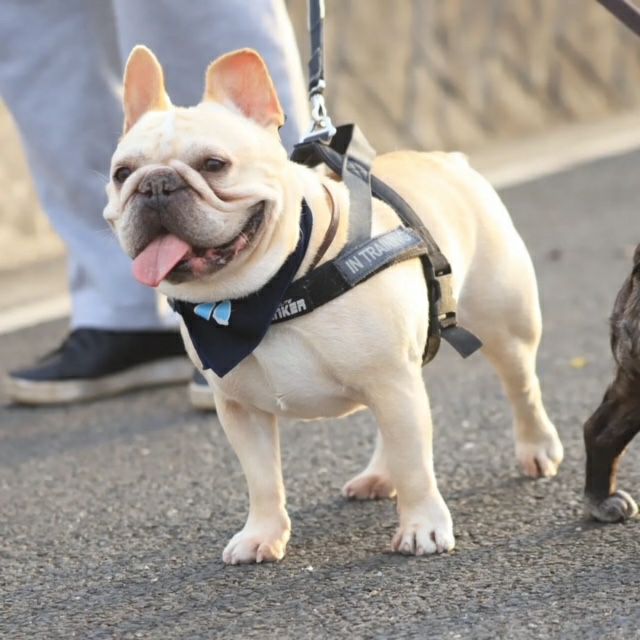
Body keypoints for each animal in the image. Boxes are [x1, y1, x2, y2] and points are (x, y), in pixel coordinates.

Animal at [104, 46, 564, 564]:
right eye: (121, 174)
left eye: (214, 164)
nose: (155, 185)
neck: (263, 297)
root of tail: (449, 160)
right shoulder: (242, 409)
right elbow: (262, 478)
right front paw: (262, 534)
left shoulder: (390, 380)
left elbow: (416, 466)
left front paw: (423, 527)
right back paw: (379, 475)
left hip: (504, 324)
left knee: (521, 386)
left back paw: (537, 448)